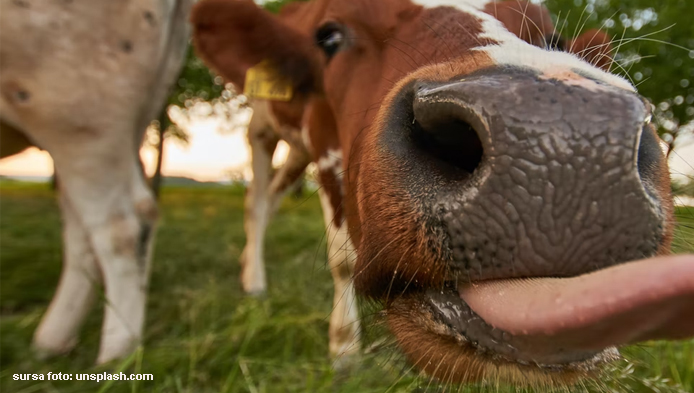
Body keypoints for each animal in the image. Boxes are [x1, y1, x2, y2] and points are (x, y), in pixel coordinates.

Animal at [193, 0, 694, 386]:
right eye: (329, 36)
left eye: (551, 37)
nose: (562, 142)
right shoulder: (324, 146)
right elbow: (342, 260)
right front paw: (344, 351)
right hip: (262, 127)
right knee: (257, 200)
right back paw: (254, 281)